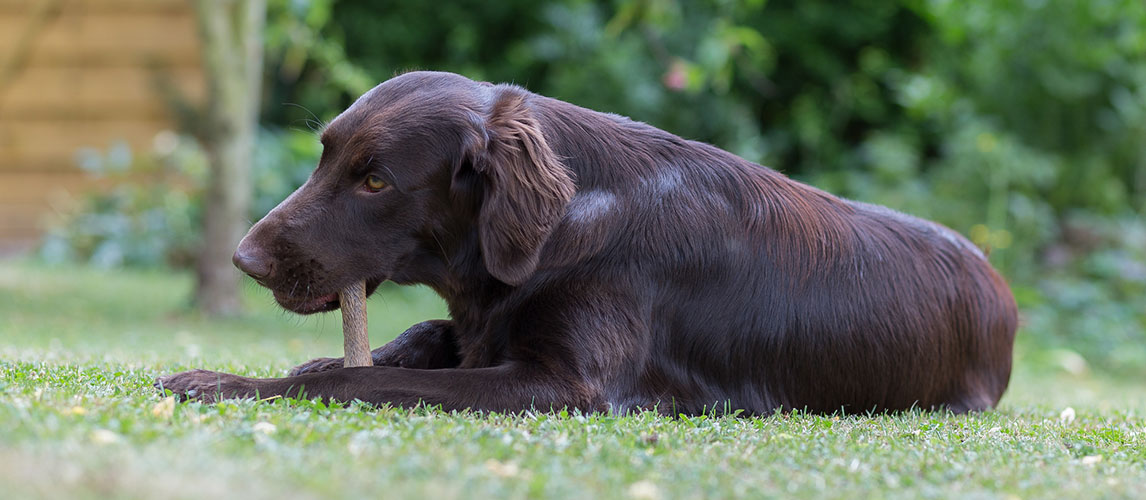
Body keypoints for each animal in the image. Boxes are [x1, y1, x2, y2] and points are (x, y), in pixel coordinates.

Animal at [154, 70, 1022, 415]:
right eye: (325, 154)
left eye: (375, 182)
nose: (242, 261)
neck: (566, 229)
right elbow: (416, 340)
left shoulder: (566, 386)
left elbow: (360, 381)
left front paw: (229, 382)